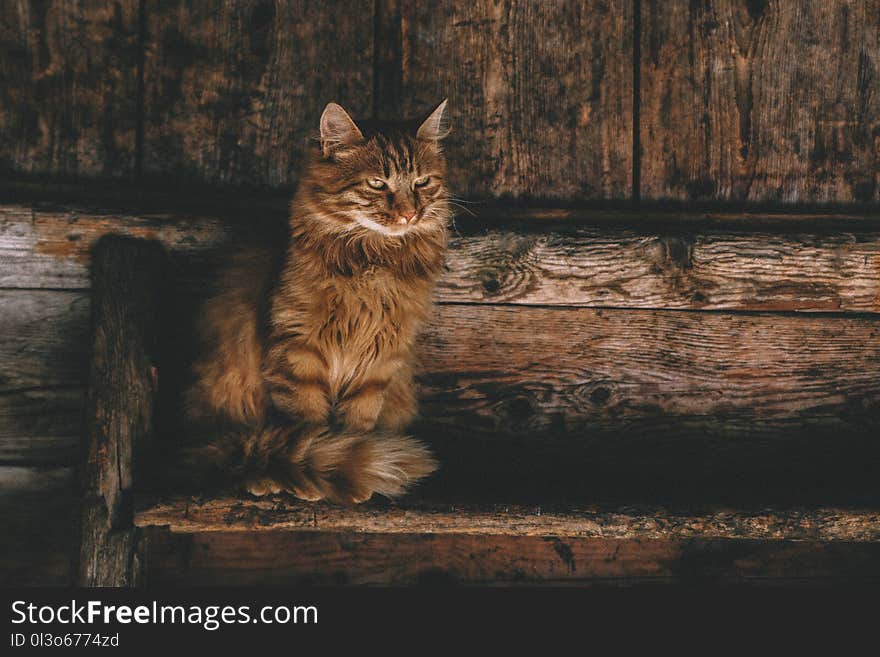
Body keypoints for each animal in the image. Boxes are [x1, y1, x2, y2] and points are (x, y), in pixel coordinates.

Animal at [182, 101, 450, 502]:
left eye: (422, 182)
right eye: (377, 183)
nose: (408, 214)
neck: (374, 260)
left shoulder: (380, 359)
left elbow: (357, 422)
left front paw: (354, 464)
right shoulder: (298, 350)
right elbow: (306, 424)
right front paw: (322, 464)